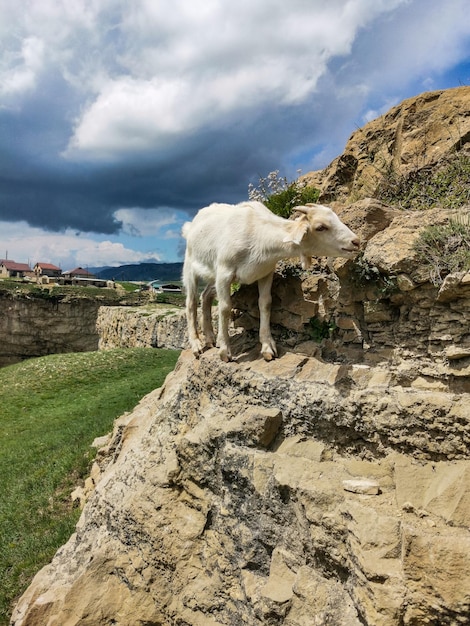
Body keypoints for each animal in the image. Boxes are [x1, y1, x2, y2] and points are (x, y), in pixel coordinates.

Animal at [182, 201, 358, 360]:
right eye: (321, 227)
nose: (356, 242)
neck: (258, 234)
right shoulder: (224, 273)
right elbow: (225, 308)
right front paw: (225, 351)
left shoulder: (266, 272)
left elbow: (265, 303)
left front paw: (267, 347)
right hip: (190, 267)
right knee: (191, 303)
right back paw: (197, 344)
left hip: (212, 273)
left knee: (205, 296)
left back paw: (210, 338)